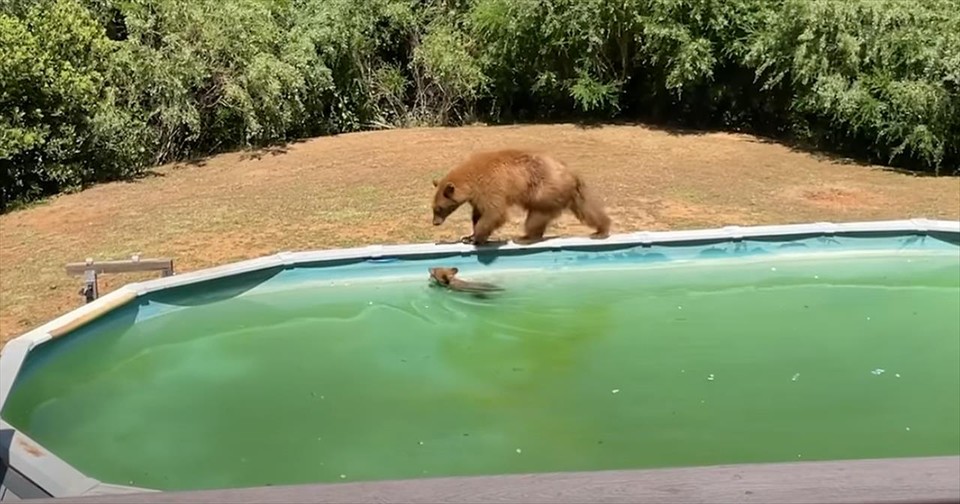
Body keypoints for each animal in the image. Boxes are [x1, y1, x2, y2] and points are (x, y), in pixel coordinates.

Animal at [430, 148, 611, 245]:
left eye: (439, 208)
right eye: (434, 208)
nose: (435, 223)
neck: (471, 179)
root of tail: (571, 173)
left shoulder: (490, 186)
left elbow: (495, 212)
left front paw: (477, 238)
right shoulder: (476, 197)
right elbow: (478, 214)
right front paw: (469, 236)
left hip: (544, 191)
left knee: (536, 217)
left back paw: (525, 238)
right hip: (572, 193)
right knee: (588, 210)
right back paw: (601, 230)